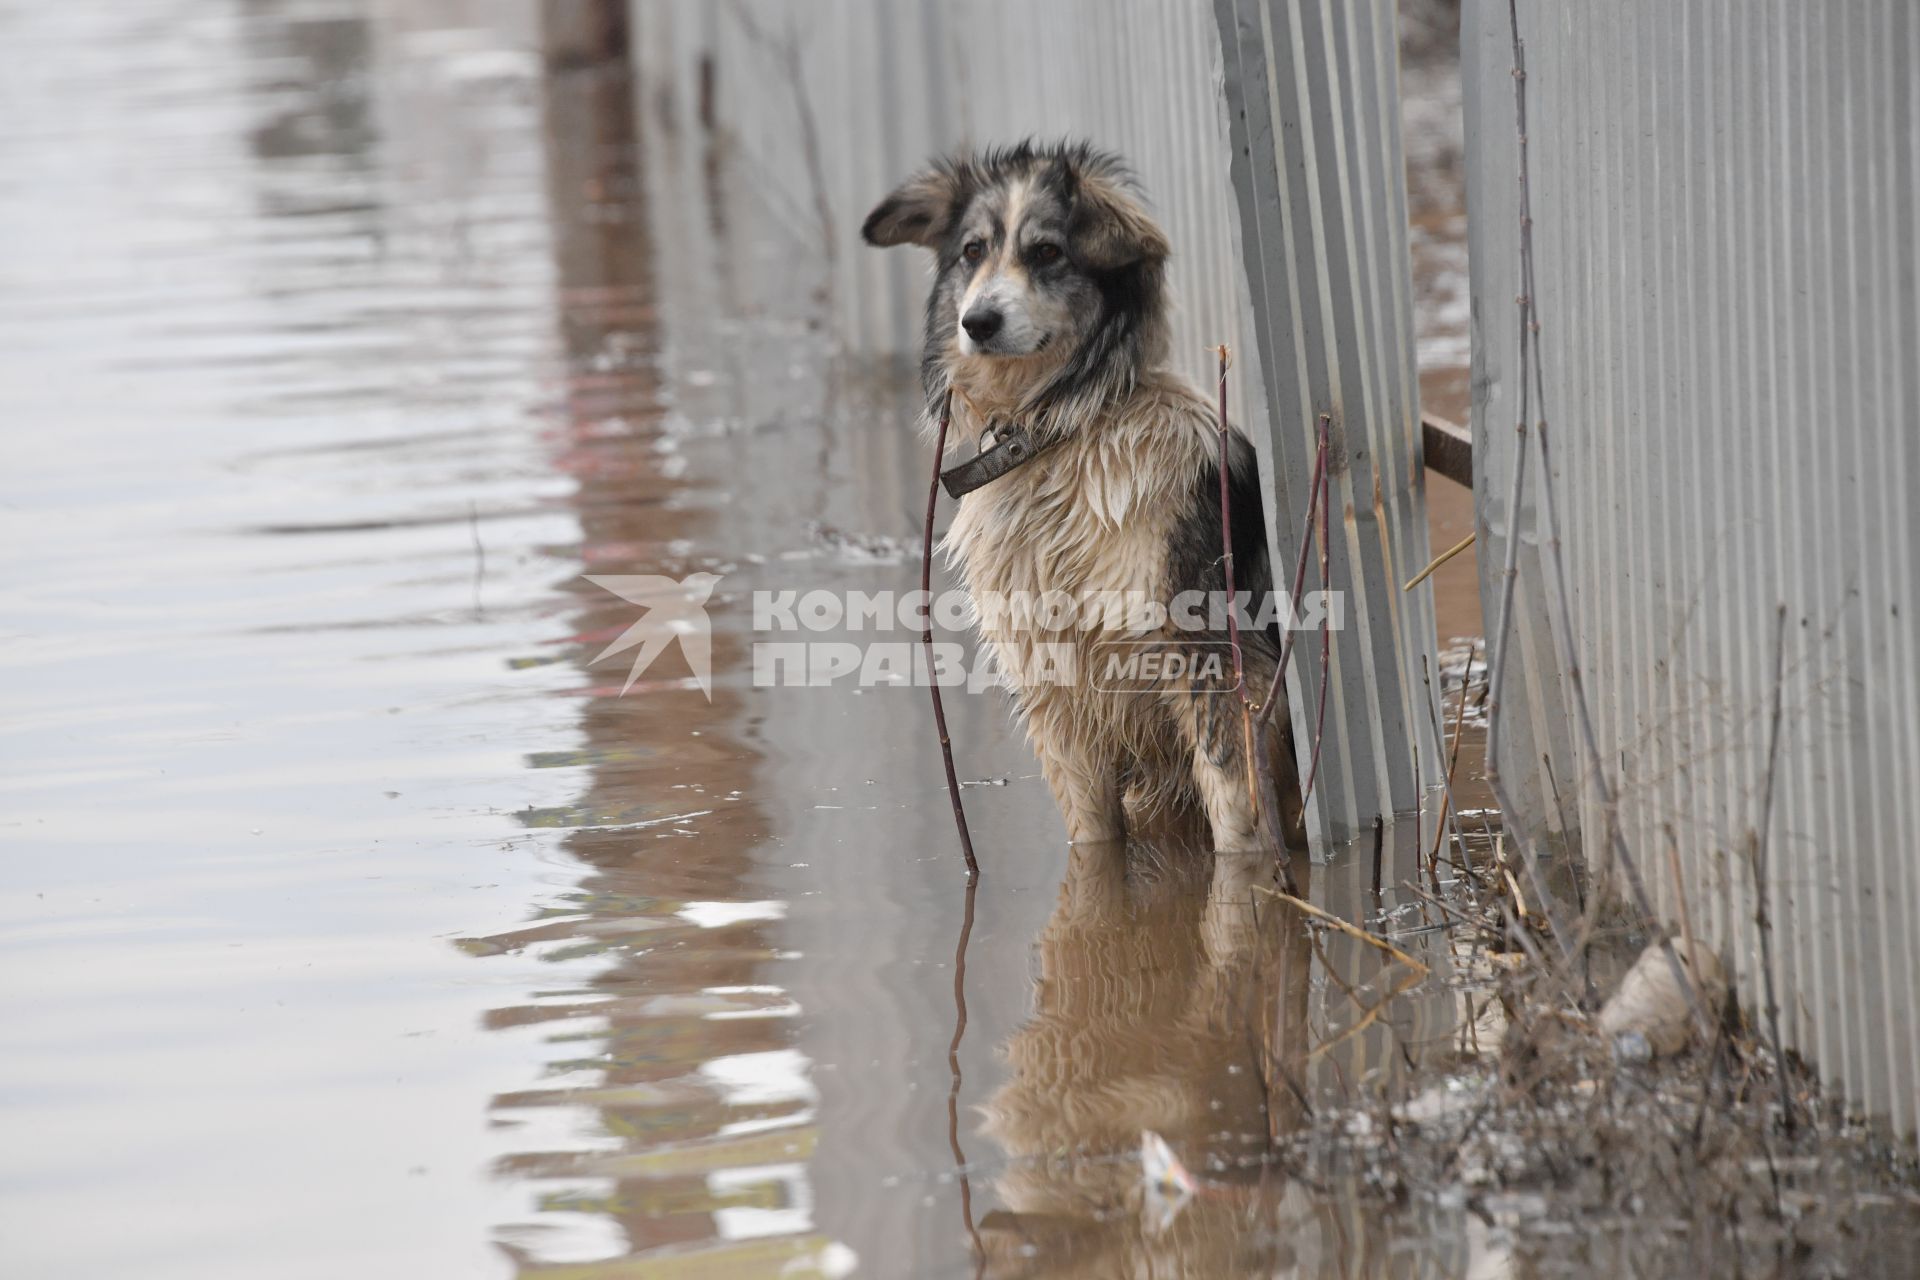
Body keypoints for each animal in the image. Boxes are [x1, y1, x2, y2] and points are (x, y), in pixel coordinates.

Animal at [867, 140, 1305, 855]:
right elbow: (1093, 839)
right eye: (972, 251)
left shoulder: (1212, 663)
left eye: (1047, 251)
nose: (977, 321)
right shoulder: (1057, 696)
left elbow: (1237, 821)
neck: (1065, 434)